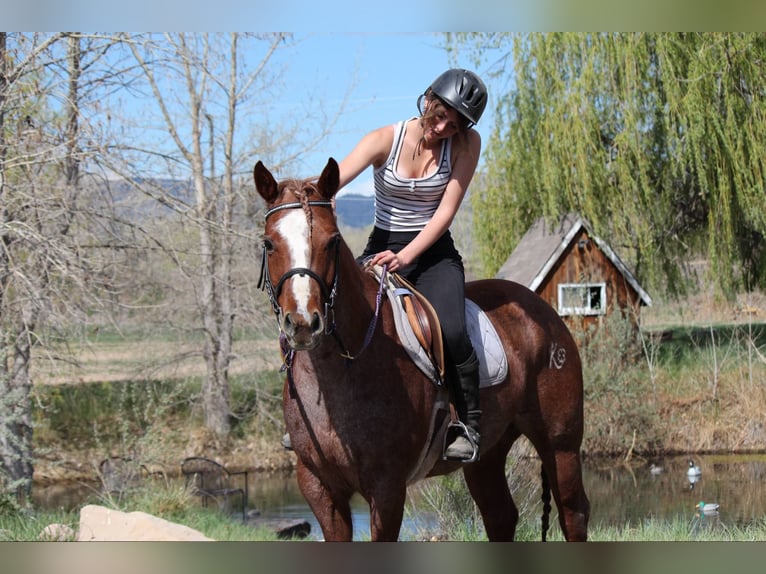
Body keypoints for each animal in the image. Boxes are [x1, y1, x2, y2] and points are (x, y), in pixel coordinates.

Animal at [253, 158, 590, 541]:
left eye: (332, 241)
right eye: (269, 243)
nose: (304, 322)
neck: (341, 367)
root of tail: (543, 310)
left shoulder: (387, 488)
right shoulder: (319, 486)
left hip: (560, 445)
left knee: (573, 514)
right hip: (488, 454)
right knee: (501, 516)